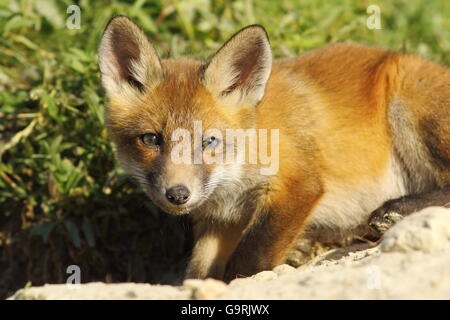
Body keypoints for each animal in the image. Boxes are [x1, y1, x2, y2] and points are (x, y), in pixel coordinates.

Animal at [100, 15, 450, 282]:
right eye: (150, 139)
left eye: (208, 141)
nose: (177, 194)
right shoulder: (221, 221)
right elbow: (198, 272)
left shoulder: (298, 185)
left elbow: (248, 261)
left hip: (410, 104)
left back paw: (395, 211)